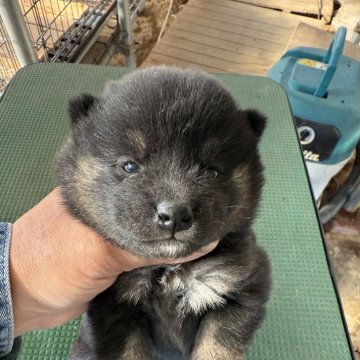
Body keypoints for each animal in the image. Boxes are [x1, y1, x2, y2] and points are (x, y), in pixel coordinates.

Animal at [56, 66, 270, 358]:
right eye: (130, 166)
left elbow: (216, 347)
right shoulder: (115, 306)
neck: (168, 270)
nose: (175, 214)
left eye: (211, 171)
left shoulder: (240, 288)